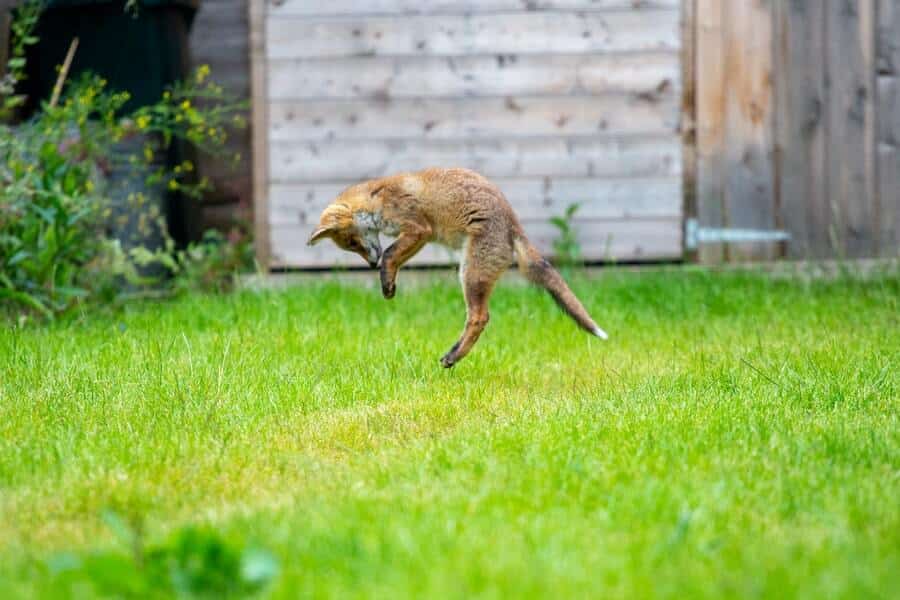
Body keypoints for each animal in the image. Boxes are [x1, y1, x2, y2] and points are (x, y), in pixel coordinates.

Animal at [307, 167, 608, 368]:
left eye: (351, 241)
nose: (370, 264)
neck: (377, 196)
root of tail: (513, 223)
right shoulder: (422, 236)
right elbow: (394, 258)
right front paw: (389, 282)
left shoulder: (418, 227)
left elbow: (390, 254)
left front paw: (386, 284)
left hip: (470, 274)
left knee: (479, 318)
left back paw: (453, 357)